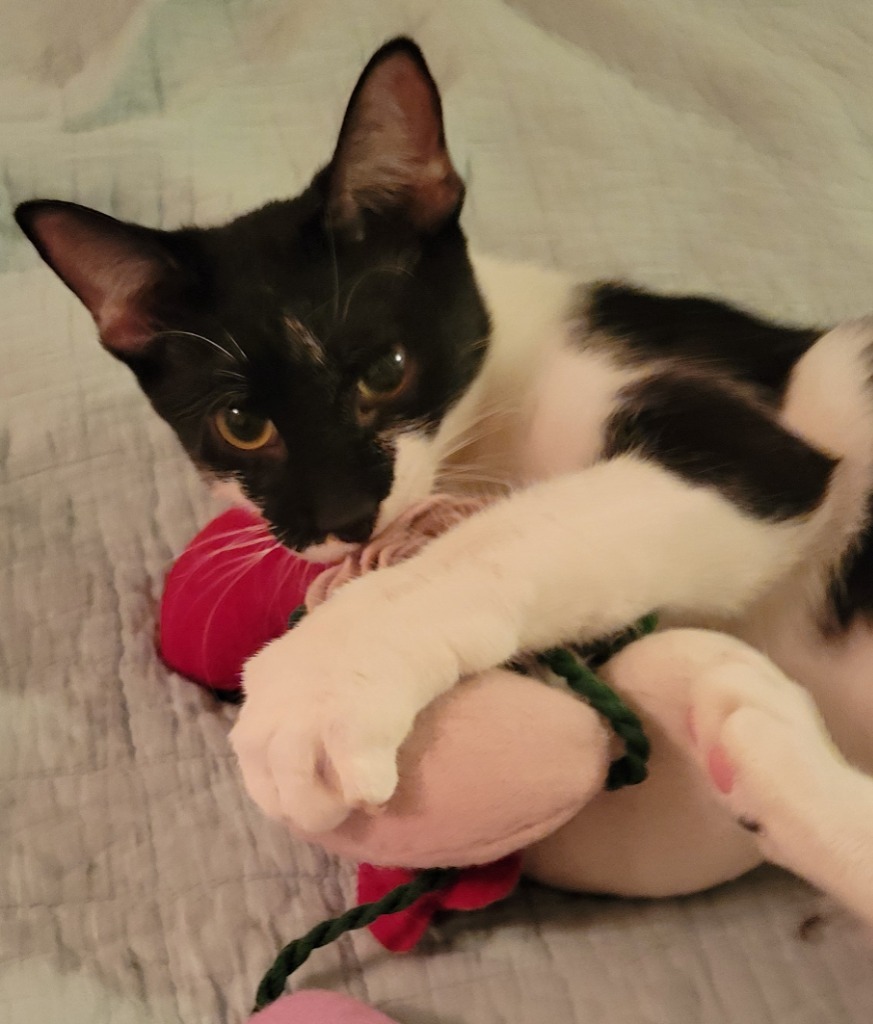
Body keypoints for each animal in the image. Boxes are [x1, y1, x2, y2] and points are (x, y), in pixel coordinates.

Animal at [15, 37, 873, 921]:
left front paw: (315, 684)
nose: (348, 517)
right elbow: (648, 843)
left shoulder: (748, 448)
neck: (493, 416)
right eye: (241, 424)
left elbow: (512, 536)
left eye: (386, 371)